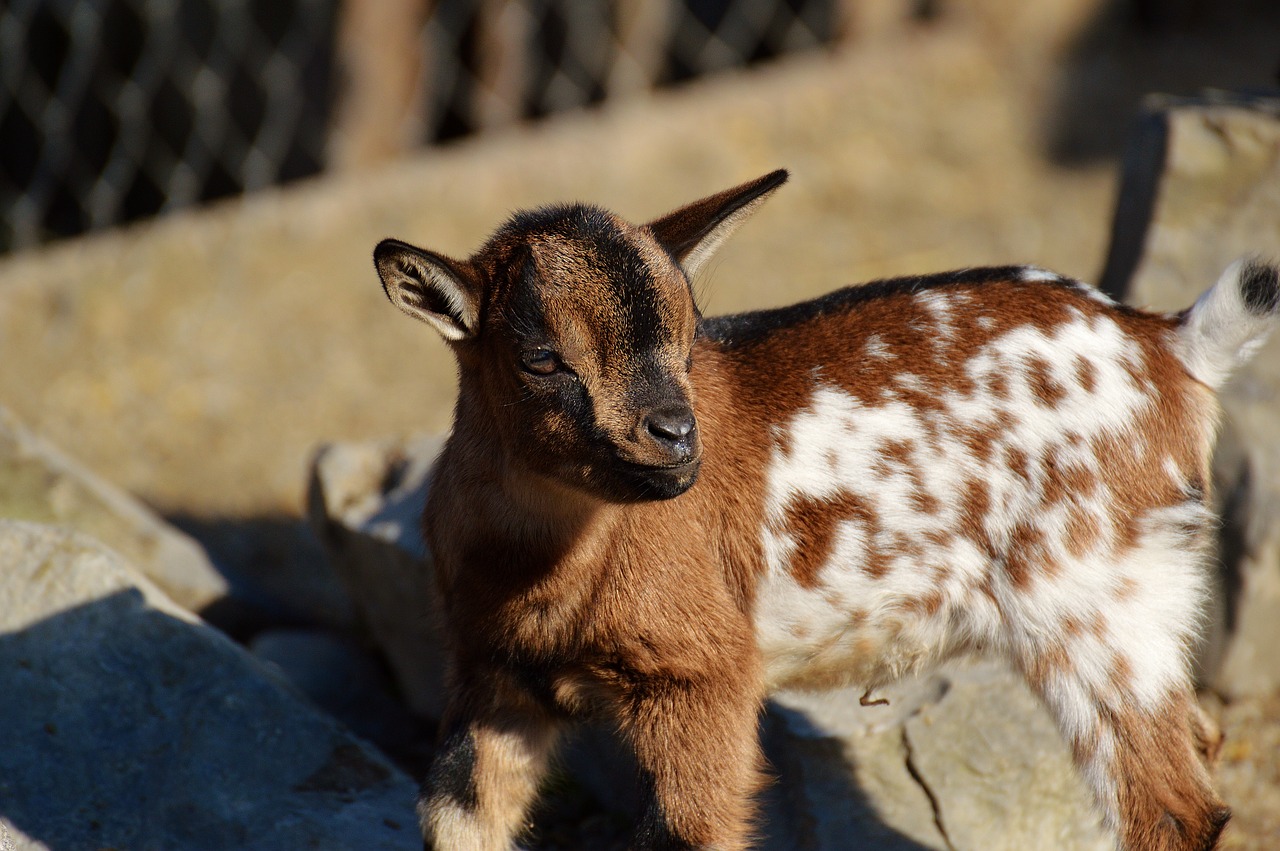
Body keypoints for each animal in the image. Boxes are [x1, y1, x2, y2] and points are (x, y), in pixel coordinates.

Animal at [373, 172, 1274, 849]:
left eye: (691, 335)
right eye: (540, 358)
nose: (677, 437)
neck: (543, 564)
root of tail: (1168, 343)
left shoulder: (701, 675)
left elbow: (688, 831)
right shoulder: (490, 673)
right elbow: (453, 820)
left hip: (1091, 604)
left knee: (1172, 806)